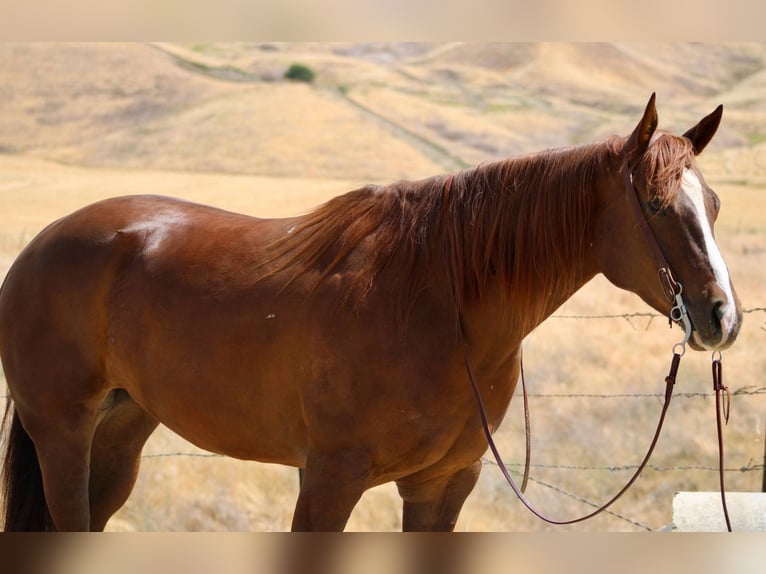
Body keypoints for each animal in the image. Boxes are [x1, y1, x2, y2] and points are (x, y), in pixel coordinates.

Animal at [0, 94, 742, 531]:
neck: (438, 308)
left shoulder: (443, 485)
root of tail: (43, 244)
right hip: (61, 433)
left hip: (120, 431)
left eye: (713, 206)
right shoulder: (329, 481)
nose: (721, 318)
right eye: (655, 205)